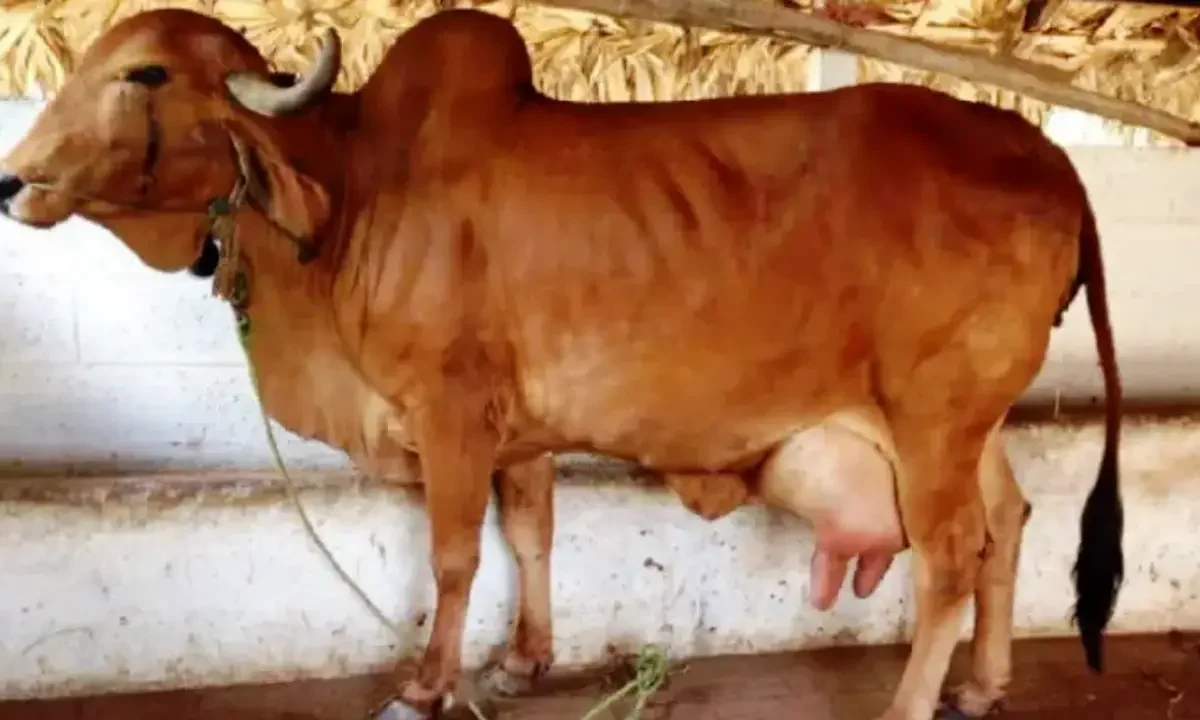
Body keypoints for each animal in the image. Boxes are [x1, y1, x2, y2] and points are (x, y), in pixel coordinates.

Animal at [0, 8, 1123, 720]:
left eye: (145, 74)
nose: (12, 179)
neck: (353, 188)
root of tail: (1053, 160)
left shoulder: (450, 413)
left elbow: (455, 555)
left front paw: (427, 686)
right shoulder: (518, 429)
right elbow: (532, 532)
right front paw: (523, 660)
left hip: (932, 417)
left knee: (950, 556)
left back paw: (911, 704)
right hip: (965, 421)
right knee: (1010, 519)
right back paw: (980, 686)